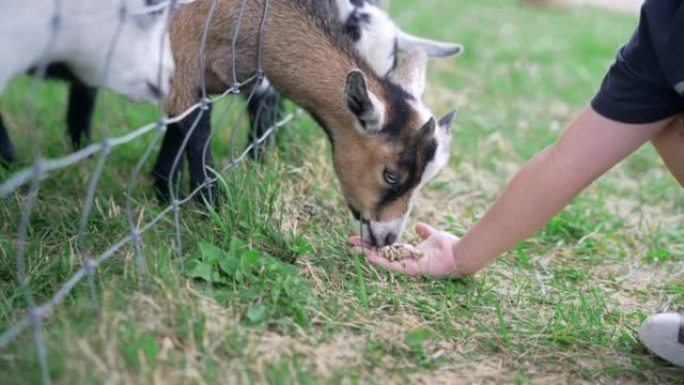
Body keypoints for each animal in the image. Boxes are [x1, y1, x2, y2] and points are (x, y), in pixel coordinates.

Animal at [159, 0, 460, 246]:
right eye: (391, 176)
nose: (388, 238)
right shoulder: (183, 59)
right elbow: (197, 128)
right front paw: (210, 207)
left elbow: (178, 127)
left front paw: (162, 188)